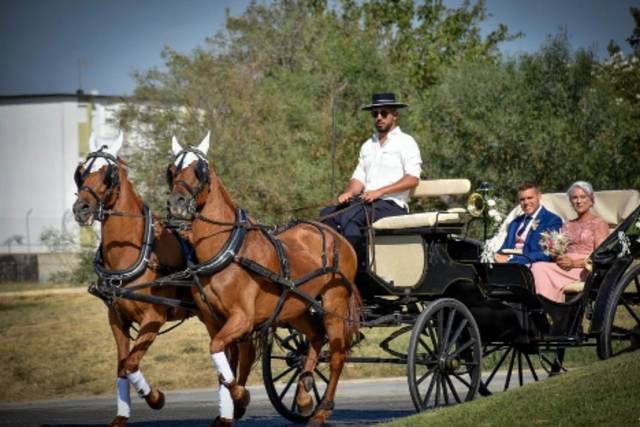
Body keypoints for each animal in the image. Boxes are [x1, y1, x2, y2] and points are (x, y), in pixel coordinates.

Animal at [73, 134, 255, 427]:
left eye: (107, 174)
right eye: (81, 173)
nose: (82, 208)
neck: (136, 250)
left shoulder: (153, 318)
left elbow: (131, 364)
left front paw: (155, 398)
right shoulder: (117, 320)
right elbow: (121, 366)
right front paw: (121, 416)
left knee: (243, 351)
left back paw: (236, 403)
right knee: (233, 352)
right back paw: (229, 409)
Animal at [165, 135, 362, 427]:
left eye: (200, 170)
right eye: (171, 171)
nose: (177, 203)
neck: (228, 250)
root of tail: (335, 234)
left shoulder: (242, 318)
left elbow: (223, 356)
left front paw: (240, 397)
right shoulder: (213, 321)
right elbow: (223, 362)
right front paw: (227, 412)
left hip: (334, 304)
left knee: (338, 355)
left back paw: (322, 410)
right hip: (295, 308)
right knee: (316, 337)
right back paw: (304, 396)